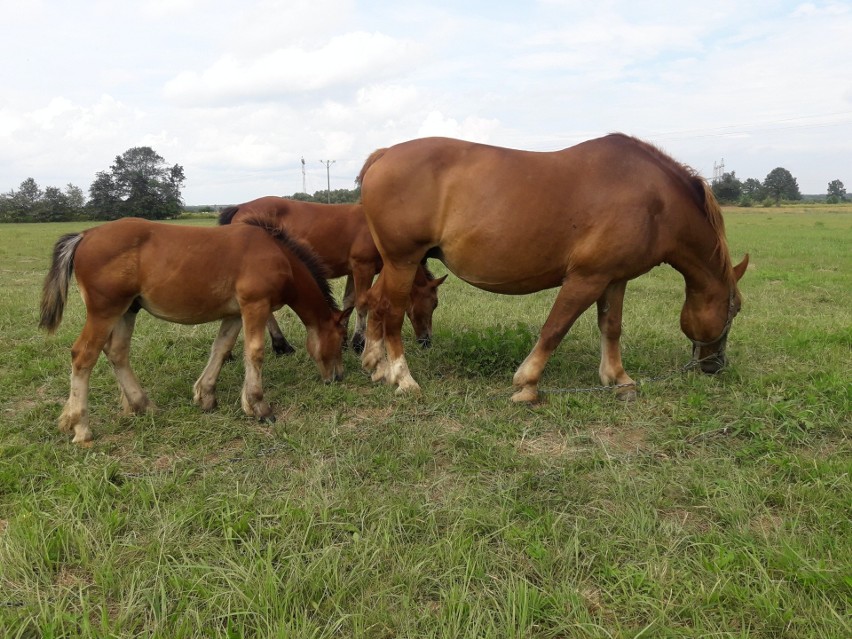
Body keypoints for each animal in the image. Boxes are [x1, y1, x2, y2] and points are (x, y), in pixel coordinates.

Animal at [39, 218, 352, 442]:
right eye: (340, 340)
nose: (337, 377)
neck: (279, 256)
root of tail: (85, 234)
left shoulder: (234, 313)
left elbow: (222, 348)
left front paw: (206, 396)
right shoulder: (255, 305)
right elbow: (255, 352)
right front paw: (259, 407)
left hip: (127, 310)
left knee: (117, 352)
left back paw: (142, 405)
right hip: (105, 311)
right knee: (83, 355)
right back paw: (81, 428)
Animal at [218, 199, 446, 356]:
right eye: (433, 304)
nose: (427, 341)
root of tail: (240, 207)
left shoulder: (354, 270)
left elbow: (350, 301)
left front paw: (344, 340)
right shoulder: (363, 266)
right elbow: (362, 303)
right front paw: (358, 343)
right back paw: (281, 344)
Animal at [356, 134, 748, 402]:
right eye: (734, 309)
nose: (715, 365)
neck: (655, 200)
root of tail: (384, 155)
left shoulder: (614, 278)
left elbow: (611, 327)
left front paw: (618, 378)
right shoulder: (586, 278)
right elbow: (555, 328)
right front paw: (527, 383)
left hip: (394, 263)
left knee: (375, 302)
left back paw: (376, 366)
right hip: (403, 261)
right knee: (392, 310)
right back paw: (403, 379)